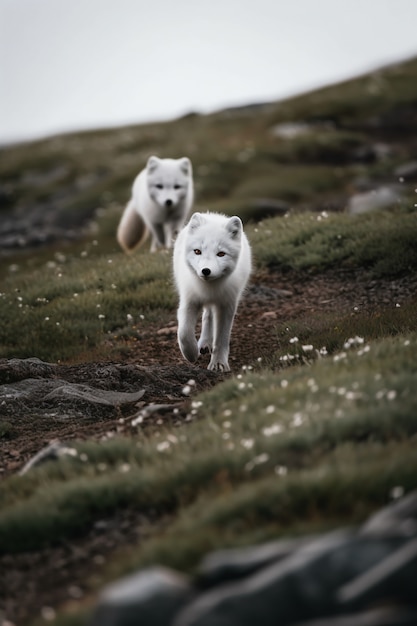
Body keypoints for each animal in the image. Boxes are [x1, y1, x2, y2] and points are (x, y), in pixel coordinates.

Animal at [172, 212, 250, 372]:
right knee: (207, 315)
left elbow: (221, 338)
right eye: (197, 251)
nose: (206, 271)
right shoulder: (189, 301)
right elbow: (184, 333)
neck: (209, 289)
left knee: (208, 315)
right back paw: (204, 343)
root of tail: (214, 215)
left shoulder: (226, 305)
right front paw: (191, 354)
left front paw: (219, 363)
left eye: (221, 254)